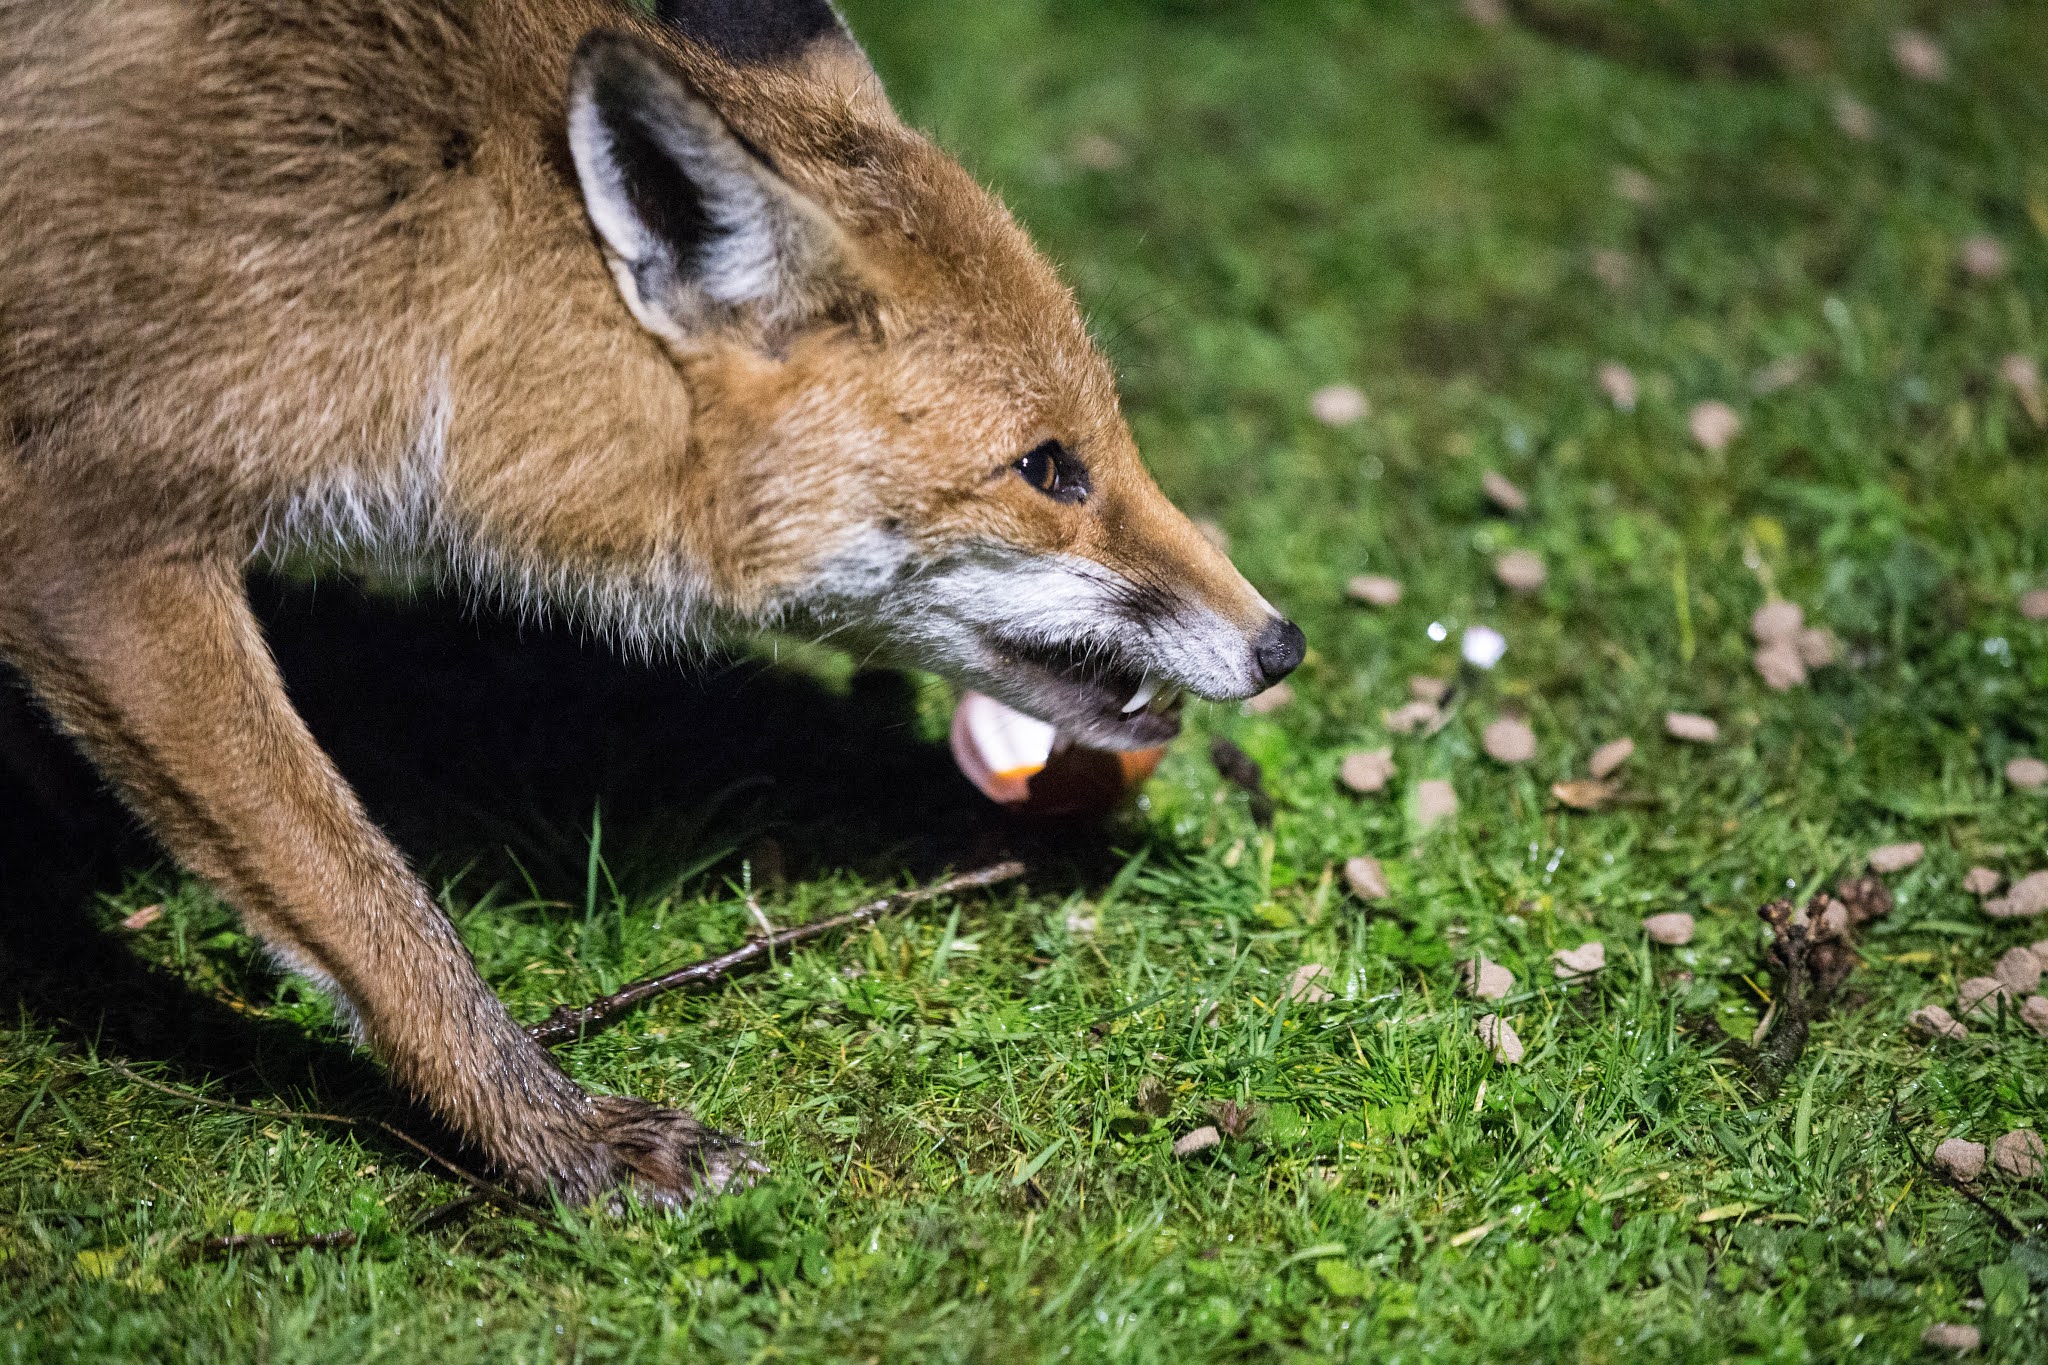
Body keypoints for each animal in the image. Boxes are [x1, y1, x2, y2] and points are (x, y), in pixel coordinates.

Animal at [0, 0, 1305, 1206]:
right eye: (1046, 468)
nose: (1281, 644)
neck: (413, 258)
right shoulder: (89, 542)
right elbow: (373, 907)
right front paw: (547, 1134)